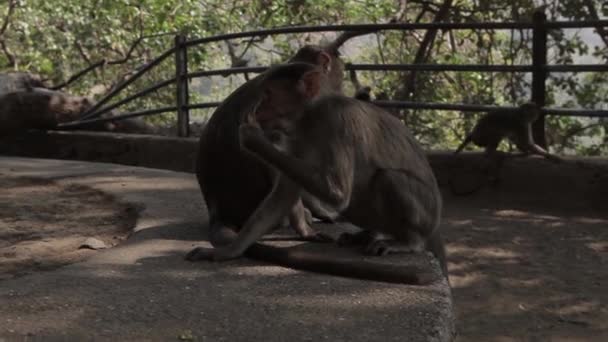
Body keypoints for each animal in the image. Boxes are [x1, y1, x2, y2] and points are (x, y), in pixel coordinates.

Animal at [188, 63, 448, 284]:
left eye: (268, 94)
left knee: (388, 178)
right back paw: (368, 234)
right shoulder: (296, 137)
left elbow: (337, 194)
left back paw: (409, 242)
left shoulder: (336, 120)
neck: (310, 115)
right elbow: (284, 193)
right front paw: (228, 251)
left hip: (426, 215)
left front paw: (254, 140)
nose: (257, 109)